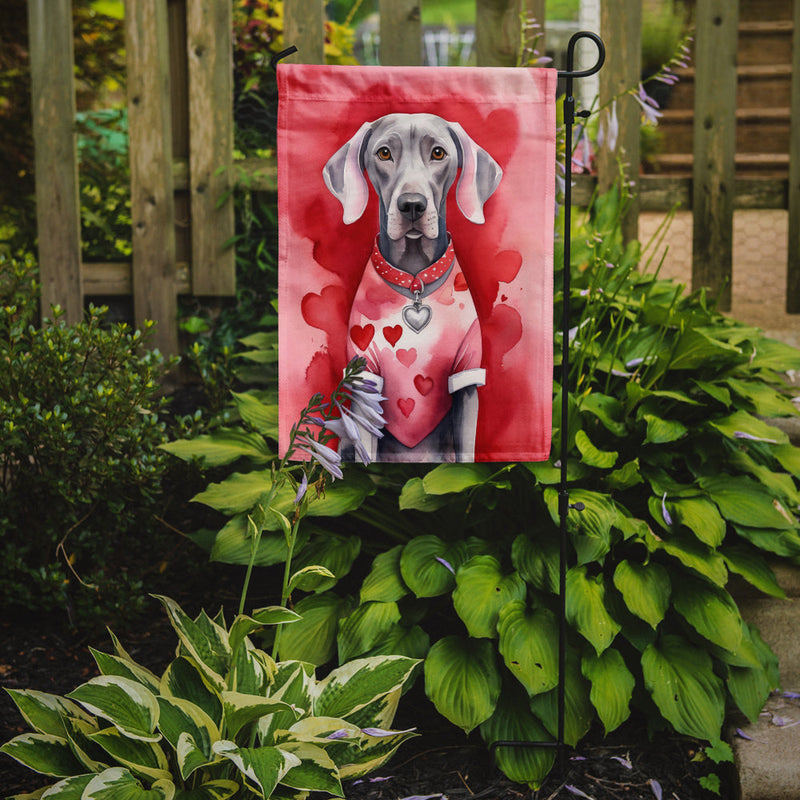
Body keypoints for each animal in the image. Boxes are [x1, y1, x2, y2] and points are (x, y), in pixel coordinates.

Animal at [324, 112, 500, 462]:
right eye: (384, 153)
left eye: (438, 153)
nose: (412, 205)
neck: (415, 279)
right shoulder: (367, 376)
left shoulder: (466, 377)